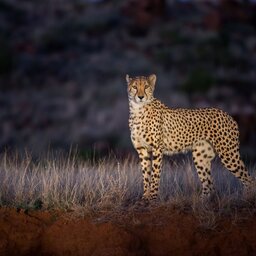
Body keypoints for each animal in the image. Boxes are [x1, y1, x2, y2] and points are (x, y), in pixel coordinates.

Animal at [125, 73, 253, 201]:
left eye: (146, 86)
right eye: (135, 87)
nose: (140, 97)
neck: (138, 110)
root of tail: (229, 115)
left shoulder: (157, 149)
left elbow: (155, 174)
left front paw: (152, 197)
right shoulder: (142, 150)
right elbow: (145, 175)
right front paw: (145, 196)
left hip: (228, 154)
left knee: (249, 179)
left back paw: (247, 199)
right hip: (201, 156)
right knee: (210, 186)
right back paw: (201, 201)